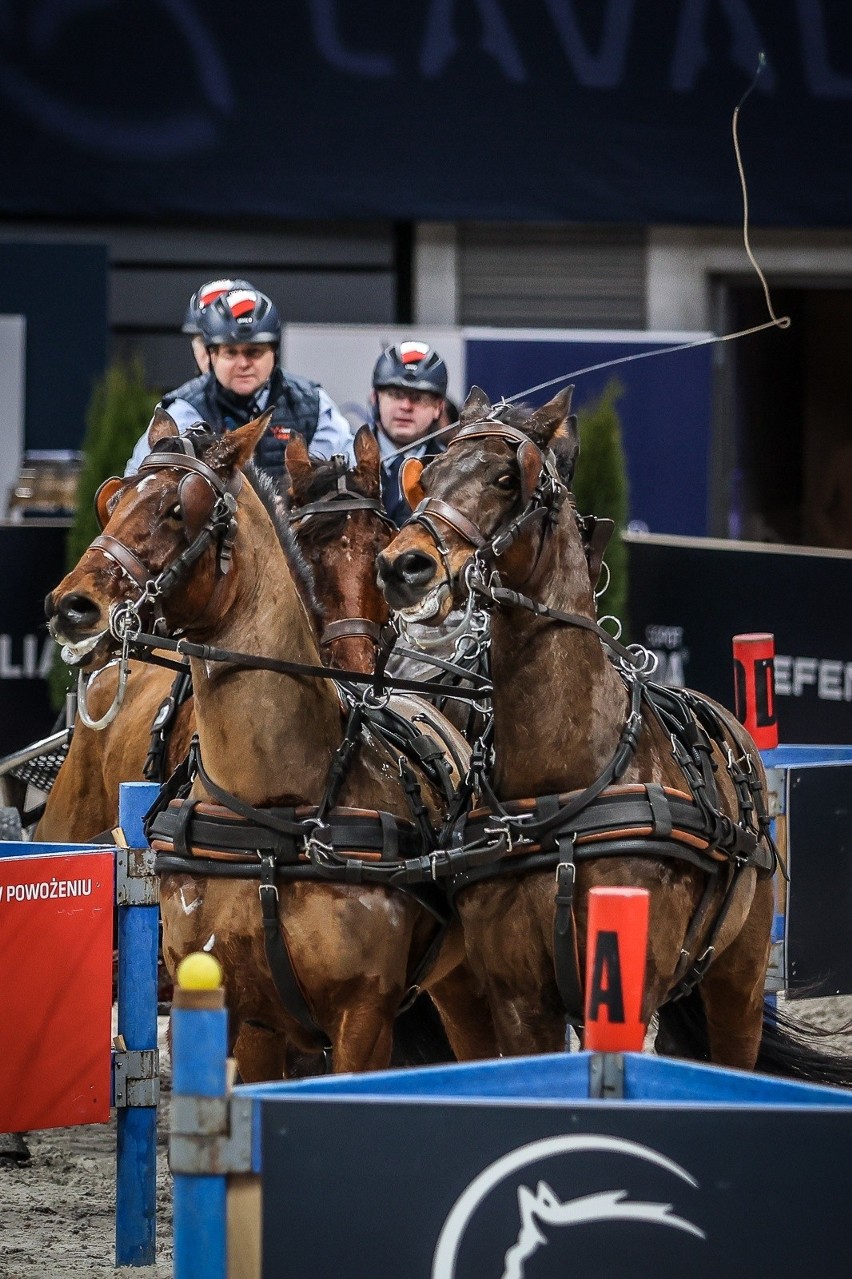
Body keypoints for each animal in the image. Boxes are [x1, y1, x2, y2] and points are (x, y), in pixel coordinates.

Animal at [376, 386, 849, 1079]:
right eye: (427, 476)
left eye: (506, 479)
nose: (401, 564)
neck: (564, 786)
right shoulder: (520, 998)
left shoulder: (635, 977)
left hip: (737, 977)